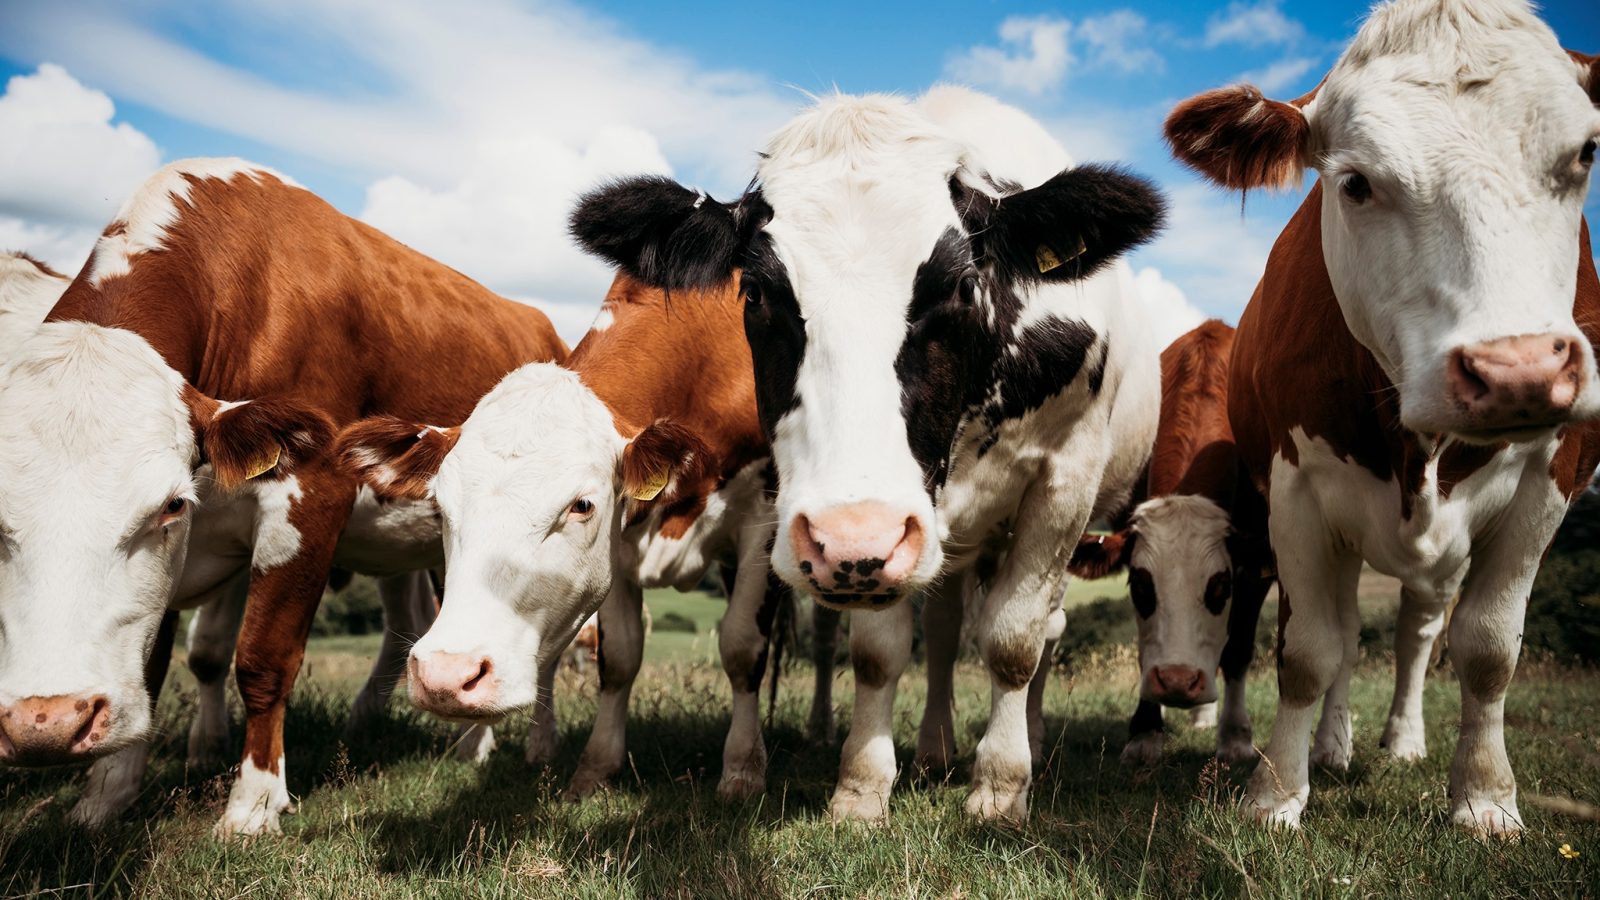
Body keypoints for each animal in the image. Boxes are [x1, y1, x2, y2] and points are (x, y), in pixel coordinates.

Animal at [0, 156, 569, 832]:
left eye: (166, 505)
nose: (47, 721)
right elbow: (155, 657)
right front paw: (107, 793)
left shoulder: (310, 494)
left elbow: (263, 660)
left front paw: (253, 805)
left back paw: (480, 745)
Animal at [337, 269, 838, 794]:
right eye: (440, 505)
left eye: (581, 505)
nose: (446, 674)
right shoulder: (620, 544)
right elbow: (619, 657)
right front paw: (596, 767)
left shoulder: (763, 518)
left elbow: (742, 647)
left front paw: (742, 771)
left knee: (827, 636)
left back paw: (821, 728)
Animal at [566, 87, 1164, 826]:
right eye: (755, 293)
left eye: (962, 287)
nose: (850, 538)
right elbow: (880, 653)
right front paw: (863, 786)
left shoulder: (1065, 478)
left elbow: (1014, 640)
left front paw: (1000, 788)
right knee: (943, 630)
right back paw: (935, 748)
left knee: (1046, 630)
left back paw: (1031, 738)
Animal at [1164, 0, 1600, 832]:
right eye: (1355, 182)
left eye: (1588, 152)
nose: (1518, 371)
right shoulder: (1296, 492)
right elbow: (1311, 652)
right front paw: (1277, 792)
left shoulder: (1552, 478)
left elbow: (1489, 647)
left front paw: (1486, 797)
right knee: (1343, 628)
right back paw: (1333, 744)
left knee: (1418, 628)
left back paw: (1401, 740)